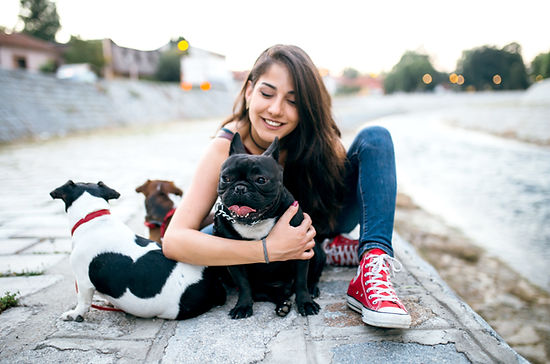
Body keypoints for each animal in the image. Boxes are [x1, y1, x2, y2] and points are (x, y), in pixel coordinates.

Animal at [216, 134, 328, 318]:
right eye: (226, 178)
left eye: (261, 180)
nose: (240, 188)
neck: (256, 222)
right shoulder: (233, 261)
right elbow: (244, 284)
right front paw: (243, 306)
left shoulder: (302, 249)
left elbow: (301, 281)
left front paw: (305, 303)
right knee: (269, 293)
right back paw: (282, 304)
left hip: (317, 252)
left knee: (310, 277)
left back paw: (311, 289)